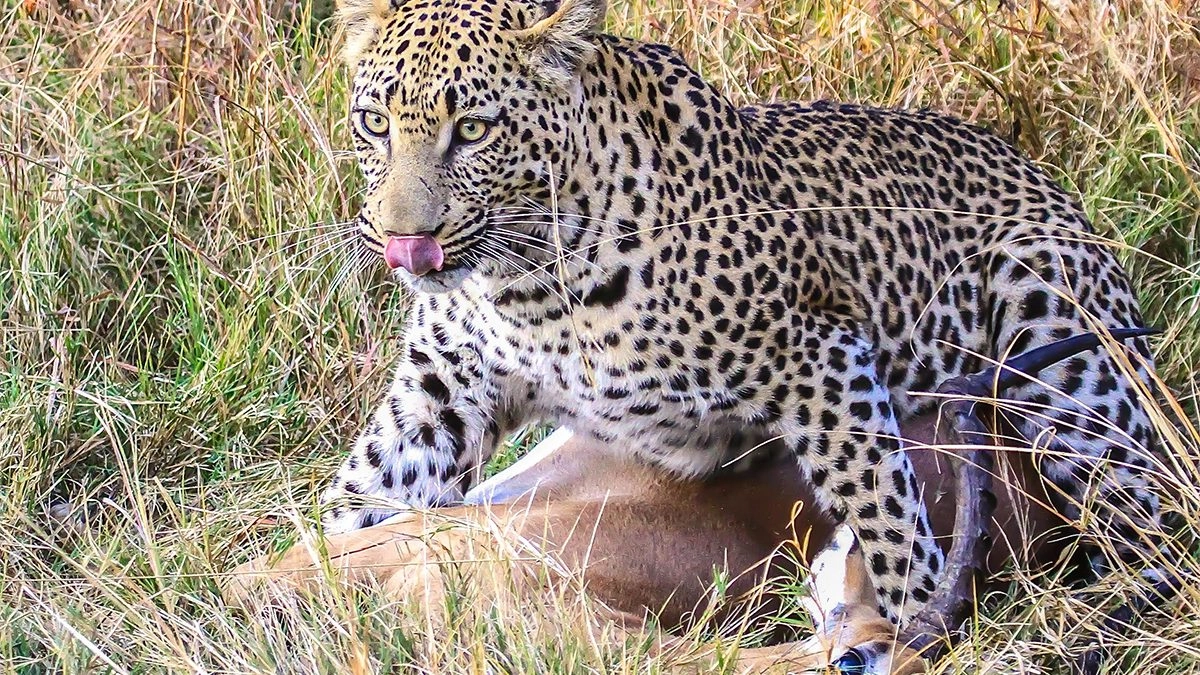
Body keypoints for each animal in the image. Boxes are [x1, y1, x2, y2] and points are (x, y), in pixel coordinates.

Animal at [317, 0, 1164, 626]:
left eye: (473, 129)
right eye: (374, 122)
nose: (403, 241)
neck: (525, 283)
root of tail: (1053, 185)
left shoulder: (821, 357)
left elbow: (887, 515)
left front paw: (922, 614)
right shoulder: (441, 394)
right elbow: (360, 499)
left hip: (1063, 344)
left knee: (1146, 518)